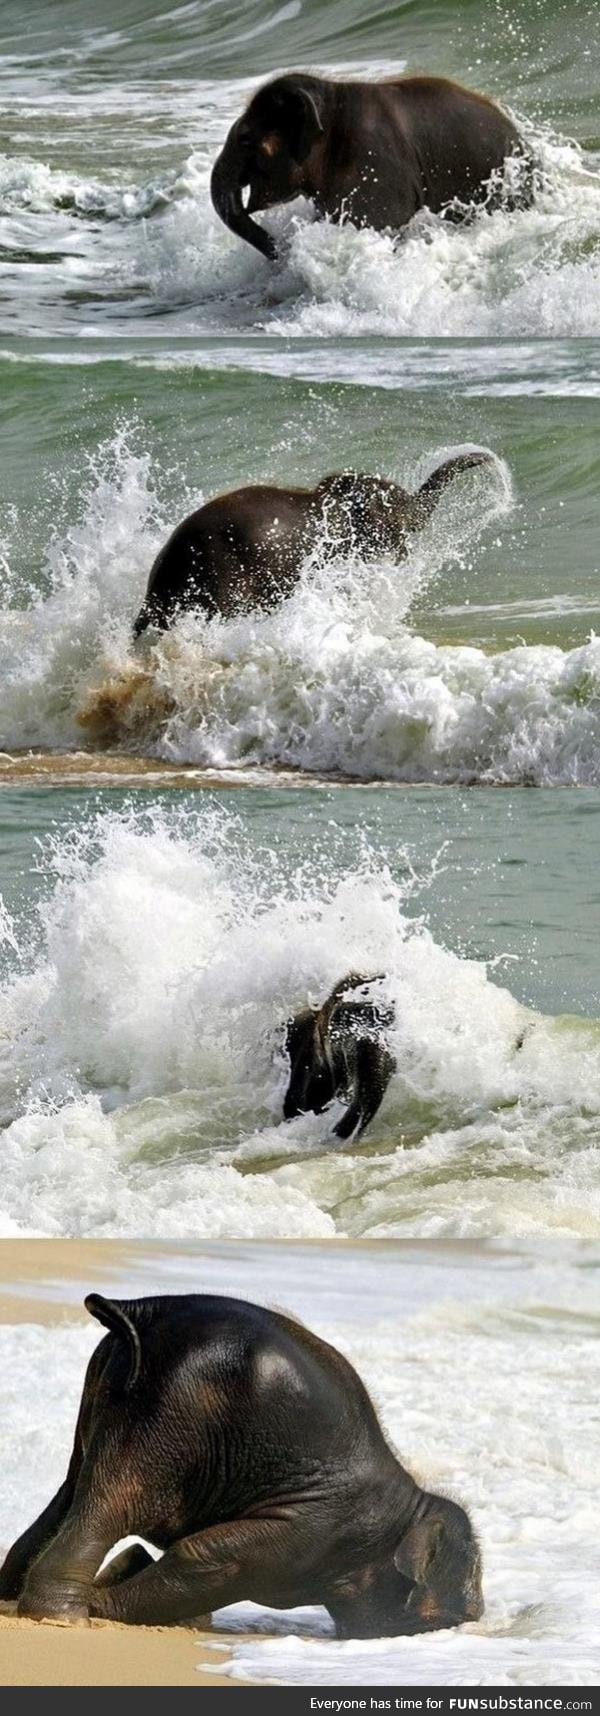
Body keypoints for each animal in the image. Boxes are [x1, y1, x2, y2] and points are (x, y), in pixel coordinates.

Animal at [0, 1290, 483, 1633]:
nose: (476, 1616)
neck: (410, 1506)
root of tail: (145, 1310)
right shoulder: (314, 1530)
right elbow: (211, 1558)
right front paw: (108, 1598)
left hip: (110, 1390)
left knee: (71, 1491)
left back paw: (14, 1598)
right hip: (170, 1413)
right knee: (115, 1502)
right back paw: (65, 1617)